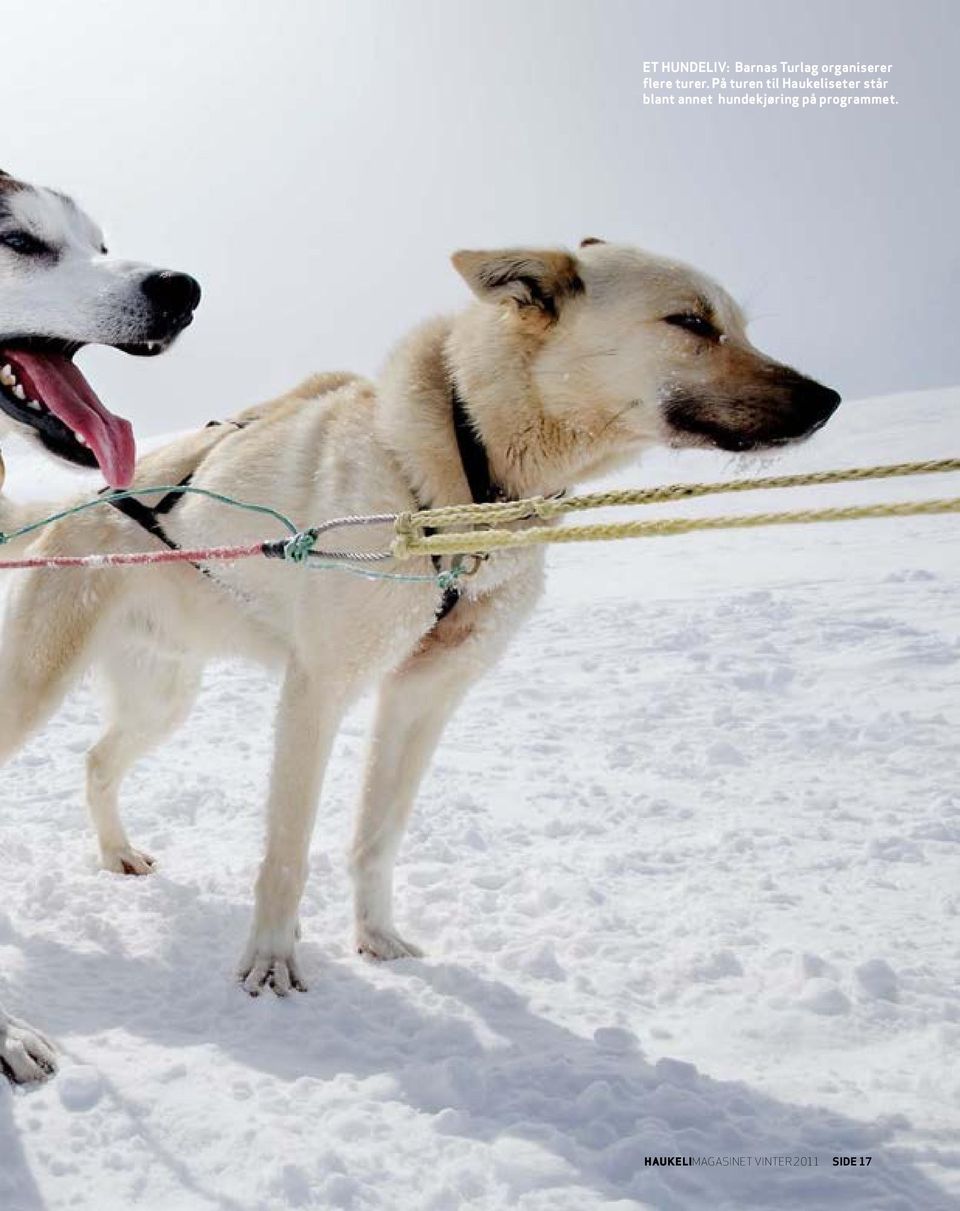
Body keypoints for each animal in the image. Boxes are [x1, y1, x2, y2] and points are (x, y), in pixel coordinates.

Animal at [0, 233, 837, 1012]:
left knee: (97, 762)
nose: (826, 399)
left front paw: (378, 940)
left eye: (739, 325)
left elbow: (378, 835)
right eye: (690, 322)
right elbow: (287, 848)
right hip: (41, 688)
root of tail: (68, 506)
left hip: (164, 697)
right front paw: (270, 962)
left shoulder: (423, 695)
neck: (465, 471)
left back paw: (117, 853)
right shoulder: (317, 692)